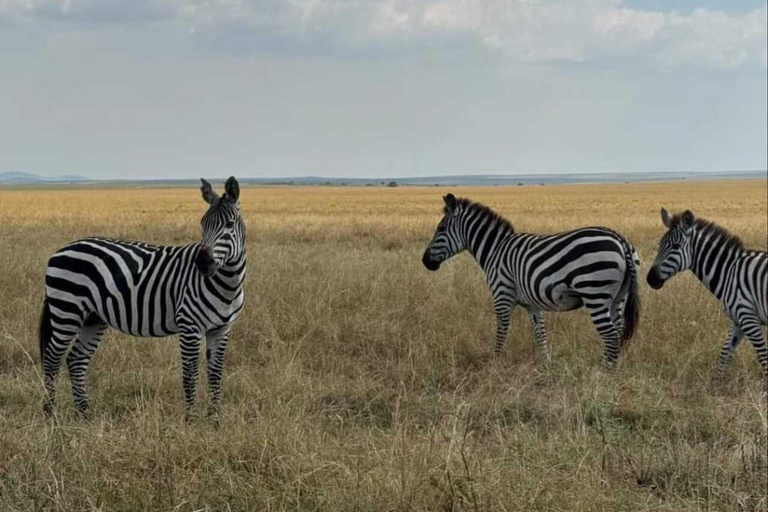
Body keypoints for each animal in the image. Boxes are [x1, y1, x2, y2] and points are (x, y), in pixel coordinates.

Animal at [40, 177, 248, 420]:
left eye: (229, 225)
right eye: (202, 224)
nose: (203, 263)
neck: (227, 285)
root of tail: (62, 249)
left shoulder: (221, 329)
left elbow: (215, 376)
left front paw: (215, 420)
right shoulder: (189, 326)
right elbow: (190, 376)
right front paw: (191, 421)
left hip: (93, 317)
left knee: (76, 360)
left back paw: (84, 414)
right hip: (67, 310)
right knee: (52, 359)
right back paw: (50, 414)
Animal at [424, 193, 640, 368]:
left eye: (441, 228)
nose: (425, 261)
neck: (495, 249)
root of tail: (620, 240)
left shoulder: (502, 295)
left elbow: (501, 331)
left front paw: (495, 362)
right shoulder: (532, 304)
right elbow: (540, 333)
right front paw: (546, 365)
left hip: (595, 293)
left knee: (610, 336)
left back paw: (603, 372)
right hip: (618, 297)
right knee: (617, 331)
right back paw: (609, 368)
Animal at [648, 206, 768, 390]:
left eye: (675, 246)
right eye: (660, 245)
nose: (650, 279)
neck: (729, 272)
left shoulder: (748, 317)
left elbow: (763, 355)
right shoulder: (738, 320)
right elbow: (725, 351)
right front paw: (716, 385)